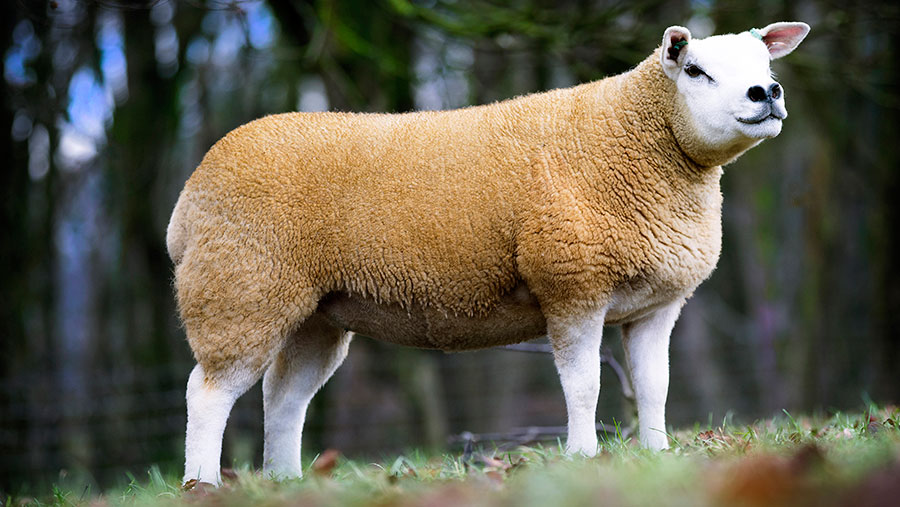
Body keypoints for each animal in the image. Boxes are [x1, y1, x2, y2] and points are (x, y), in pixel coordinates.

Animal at [167, 21, 808, 486]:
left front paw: (657, 455)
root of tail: (186, 204)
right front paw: (583, 458)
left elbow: (654, 387)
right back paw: (204, 485)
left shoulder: (656, 305)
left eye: (767, 66)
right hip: (240, 288)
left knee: (283, 399)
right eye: (695, 69)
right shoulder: (572, 283)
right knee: (206, 393)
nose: (768, 94)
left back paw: (285, 481)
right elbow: (584, 386)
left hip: (314, 312)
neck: (642, 150)